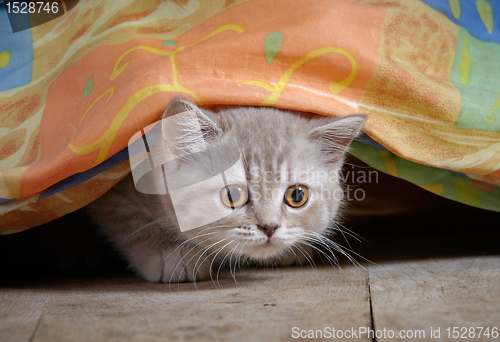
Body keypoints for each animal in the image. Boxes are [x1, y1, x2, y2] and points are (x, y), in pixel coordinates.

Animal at [88, 99, 366, 284]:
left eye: (297, 196)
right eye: (233, 196)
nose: (270, 227)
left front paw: (293, 249)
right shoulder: (115, 193)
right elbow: (131, 224)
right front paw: (170, 253)